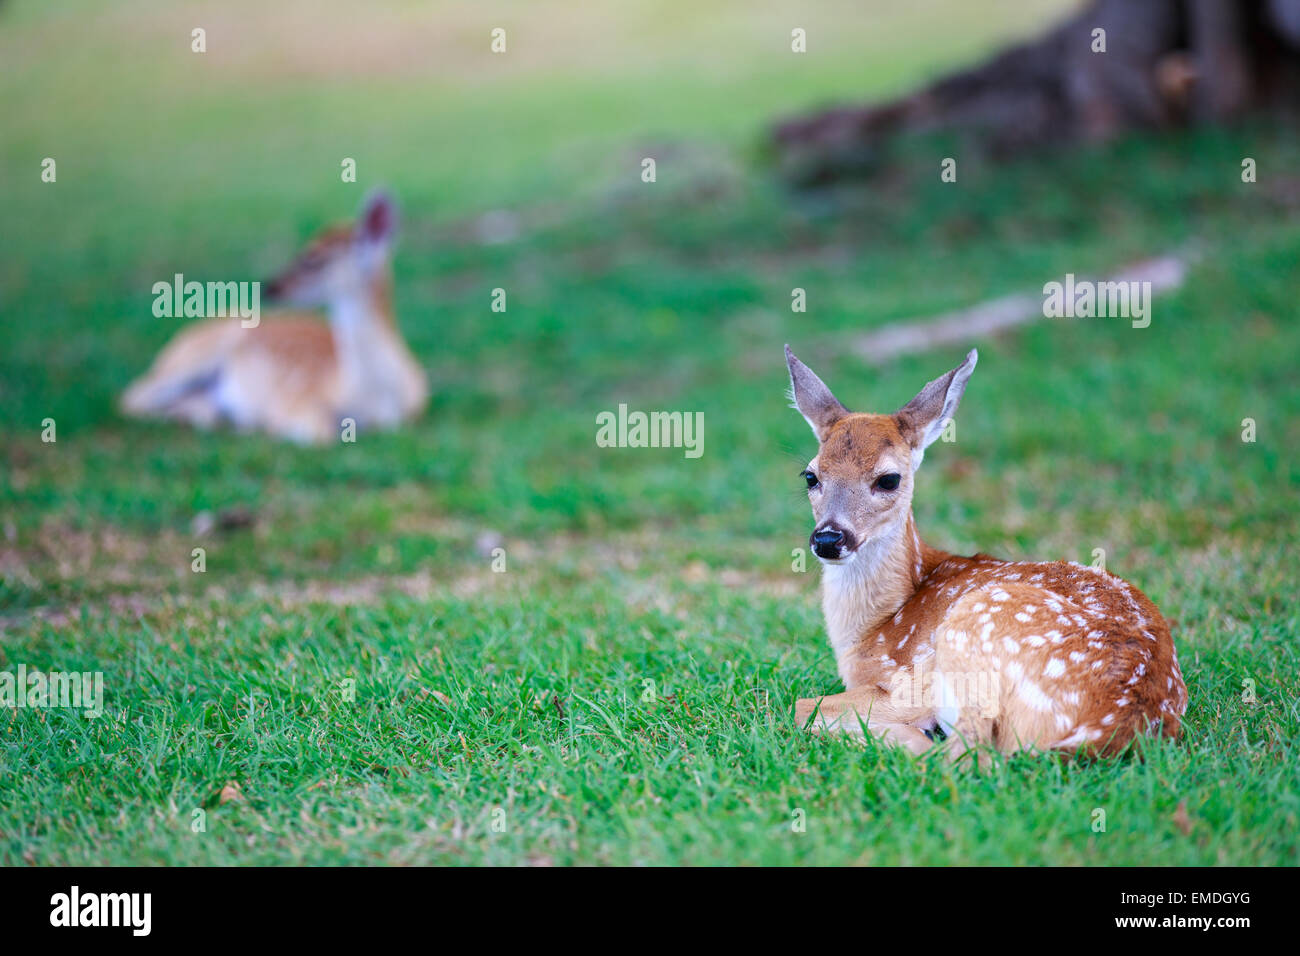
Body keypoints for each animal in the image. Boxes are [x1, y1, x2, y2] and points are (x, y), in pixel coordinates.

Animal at [120, 191, 427, 444]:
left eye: (314, 258)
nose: (270, 286)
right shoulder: (296, 397)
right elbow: (319, 432)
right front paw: (269, 425)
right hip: (191, 358)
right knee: (131, 396)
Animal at [785, 345, 1188, 759]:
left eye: (888, 479)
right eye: (811, 476)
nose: (829, 538)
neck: (873, 627)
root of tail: (1111, 728)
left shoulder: (905, 678)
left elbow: (802, 706)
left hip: (973, 628)